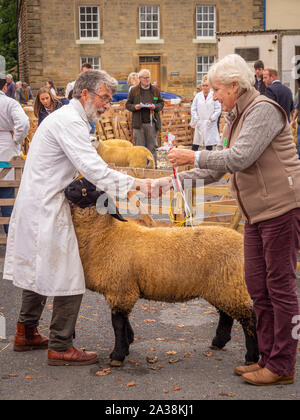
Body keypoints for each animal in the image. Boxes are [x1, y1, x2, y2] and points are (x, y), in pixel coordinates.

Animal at [67, 187, 258, 368]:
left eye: (87, 188)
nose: (67, 188)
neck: (106, 235)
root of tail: (240, 240)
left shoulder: (120, 288)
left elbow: (118, 323)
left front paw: (117, 355)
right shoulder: (124, 288)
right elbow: (124, 320)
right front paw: (128, 344)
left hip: (231, 285)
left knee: (249, 319)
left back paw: (251, 357)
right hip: (221, 285)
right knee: (226, 314)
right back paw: (219, 342)